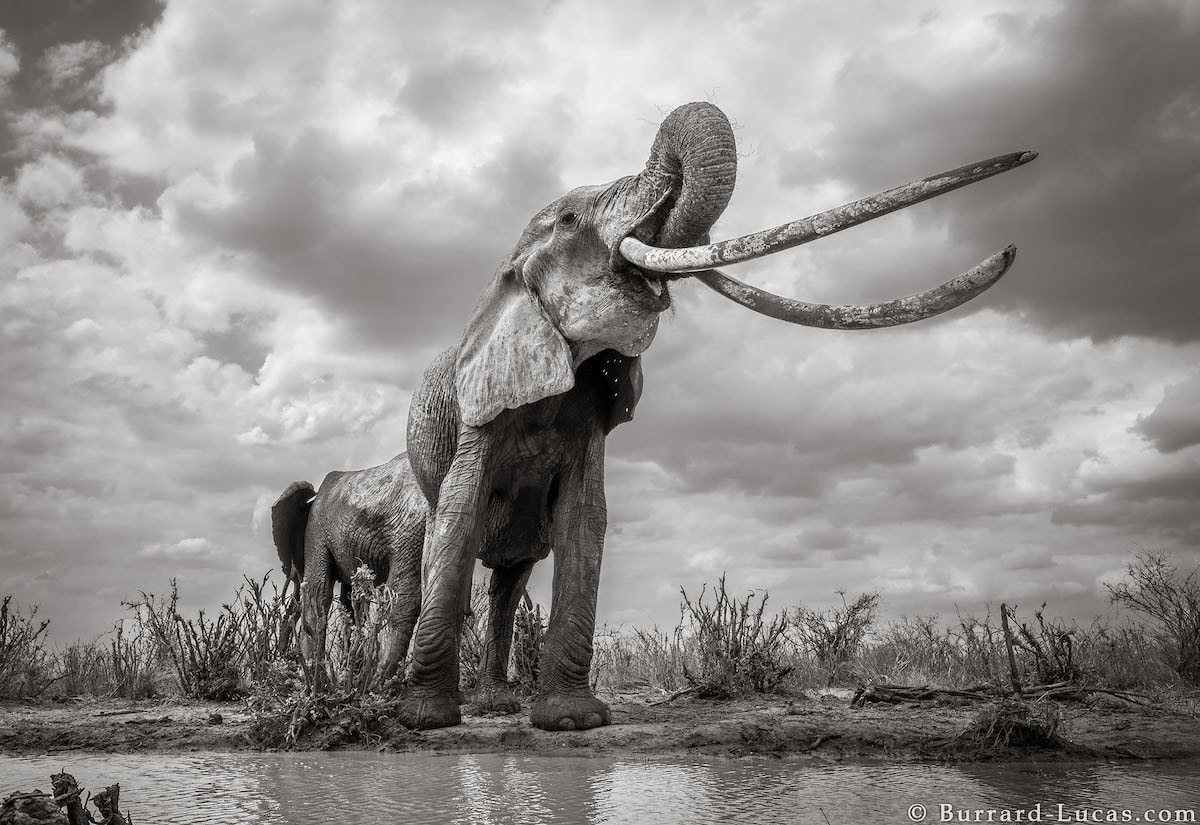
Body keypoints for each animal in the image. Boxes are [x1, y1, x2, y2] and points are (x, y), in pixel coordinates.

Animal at [393, 100, 1032, 733]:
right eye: (571, 219)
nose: (1026, 155)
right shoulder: (476, 408)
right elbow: (460, 512)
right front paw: (425, 721)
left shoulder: (589, 410)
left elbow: (584, 517)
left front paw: (573, 721)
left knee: (512, 575)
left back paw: (495, 705)